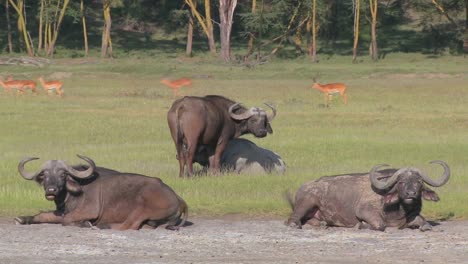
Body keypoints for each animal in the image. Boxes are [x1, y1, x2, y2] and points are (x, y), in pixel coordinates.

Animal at [16, 154, 188, 230]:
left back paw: (104, 225)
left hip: (142, 206)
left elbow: (66, 220)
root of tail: (177, 198)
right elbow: (44, 215)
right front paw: (23, 219)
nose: (51, 190)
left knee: (130, 225)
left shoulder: (90, 210)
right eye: (44, 175)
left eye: (63, 174)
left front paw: (85, 223)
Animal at [286, 159, 450, 231]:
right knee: (292, 219)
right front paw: (361, 225)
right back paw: (296, 224)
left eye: (418, 182)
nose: (411, 194)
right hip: (307, 202)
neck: (397, 210)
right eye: (401, 182)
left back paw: (322, 224)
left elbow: (424, 222)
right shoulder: (364, 211)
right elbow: (380, 224)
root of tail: (304, 186)